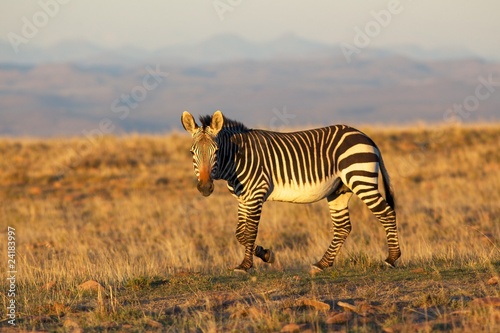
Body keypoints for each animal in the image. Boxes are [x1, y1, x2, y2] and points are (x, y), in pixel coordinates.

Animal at [182, 110, 400, 272]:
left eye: (216, 151)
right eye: (192, 152)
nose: (205, 187)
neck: (237, 159)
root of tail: (366, 137)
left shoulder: (256, 194)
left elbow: (249, 232)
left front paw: (245, 265)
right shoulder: (243, 199)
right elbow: (240, 233)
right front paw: (265, 254)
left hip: (361, 179)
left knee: (387, 213)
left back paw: (392, 258)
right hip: (340, 190)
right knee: (343, 227)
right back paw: (323, 263)